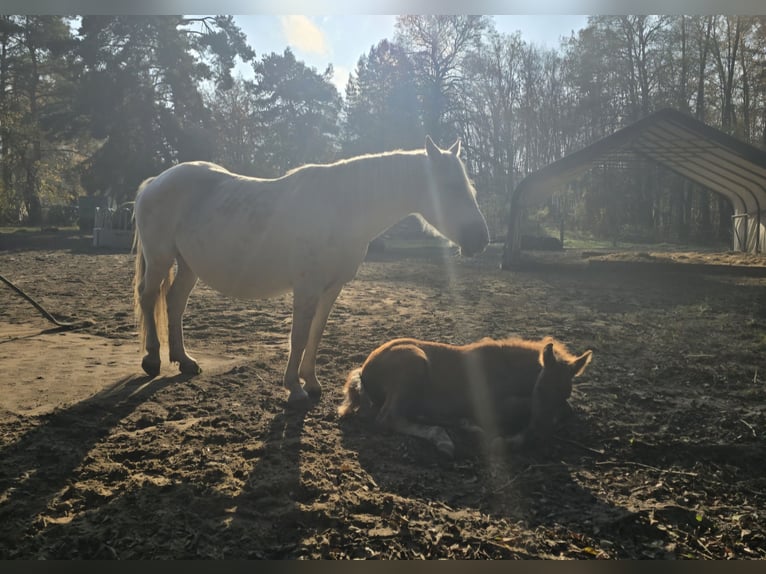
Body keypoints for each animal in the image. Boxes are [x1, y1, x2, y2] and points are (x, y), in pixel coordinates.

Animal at [132, 137, 490, 404]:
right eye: (449, 187)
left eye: (470, 187)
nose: (481, 239)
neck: (341, 208)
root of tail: (154, 182)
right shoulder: (306, 287)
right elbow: (299, 335)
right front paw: (294, 387)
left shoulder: (332, 288)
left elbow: (316, 333)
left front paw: (312, 382)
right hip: (161, 258)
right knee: (149, 298)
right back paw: (152, 360)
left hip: (188, 264)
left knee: (175, 302)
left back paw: (184, 360)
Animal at [338, 336, 593, 457]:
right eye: (540, 389)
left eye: (565, 393)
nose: (538, 438)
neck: (505, 367)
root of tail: (365, 368)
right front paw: (508, 440)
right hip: (413, 364)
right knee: (388, 418)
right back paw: (444, 439)